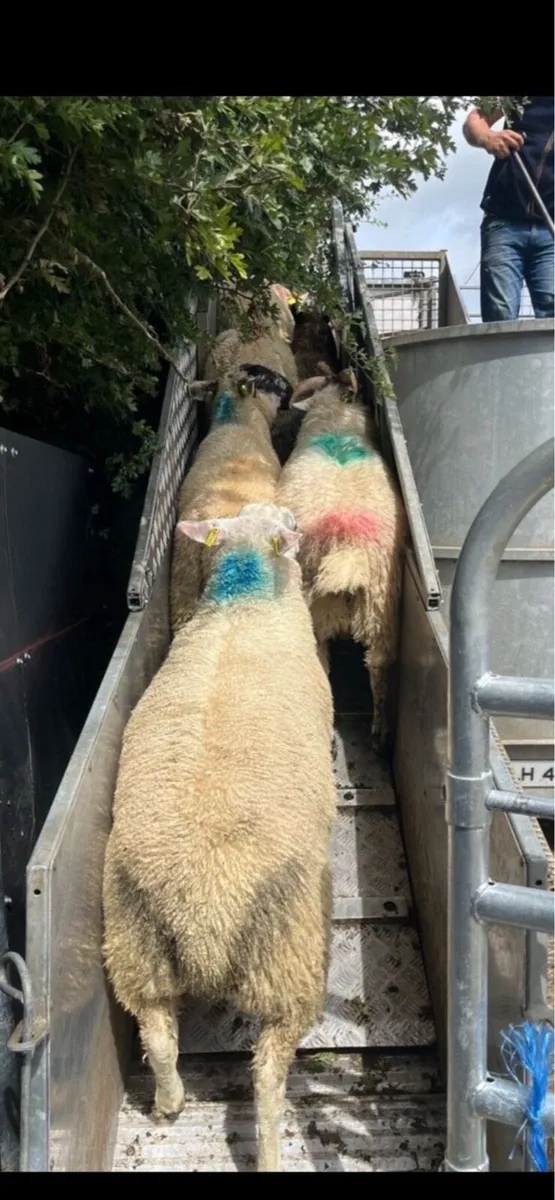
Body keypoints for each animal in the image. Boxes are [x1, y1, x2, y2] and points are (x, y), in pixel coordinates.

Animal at [102, 502, 337, 1173]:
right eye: (288, 524)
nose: (297, 519)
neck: (246, 599)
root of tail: (203, 915)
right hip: (288, 963)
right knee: (267, 1076)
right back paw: (271, 1154)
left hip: (135, 945)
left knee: (157, 1033)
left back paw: (168, 1103)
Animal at [277, 372, 407, 753]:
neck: (337, 418)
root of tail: (347, 554)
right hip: (379, 613)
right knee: (378, 669)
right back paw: (380, 732)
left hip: (323, 611)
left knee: (324, 664)